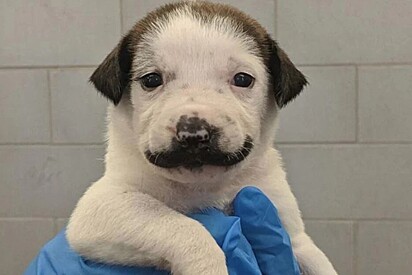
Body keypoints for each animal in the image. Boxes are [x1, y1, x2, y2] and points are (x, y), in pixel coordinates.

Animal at [67, 1, 338, 274]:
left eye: (243, 79)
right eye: (151, 79)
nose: (194, 134)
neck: (204, 186)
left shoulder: (292, 234)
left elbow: (318, 261)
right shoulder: (101, 206)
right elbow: (181, 226)